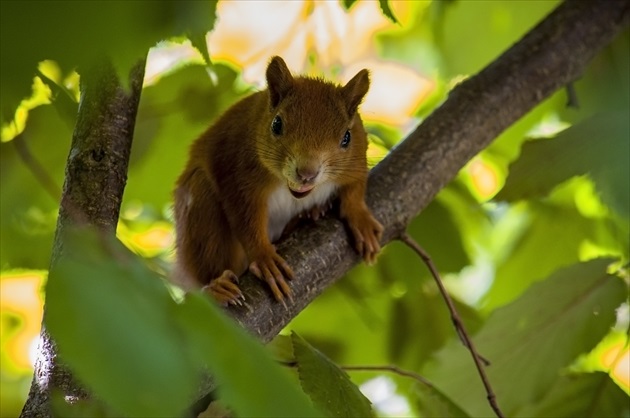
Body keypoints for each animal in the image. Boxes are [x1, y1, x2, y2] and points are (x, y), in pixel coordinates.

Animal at [170, 56, 382, 304]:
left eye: (346, 138)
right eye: (277, 124)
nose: (306, 173)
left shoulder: (357, 158)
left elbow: (355, 188)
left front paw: (360, 218)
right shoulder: (237, 172)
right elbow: (246, 219)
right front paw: (264, 257)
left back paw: (308, 215)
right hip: (200, 208)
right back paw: (215, 287)